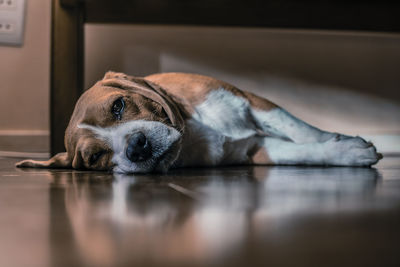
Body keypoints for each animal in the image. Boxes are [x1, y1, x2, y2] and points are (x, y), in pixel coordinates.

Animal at [15, 71, 382, 174]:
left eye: (118, 106)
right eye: (94, 157)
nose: (136, 148)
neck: (192, 134)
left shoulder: (253, 102)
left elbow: (304, 130)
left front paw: (341, 141)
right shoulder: (254, 150)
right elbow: (299, 152)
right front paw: (346, 153)